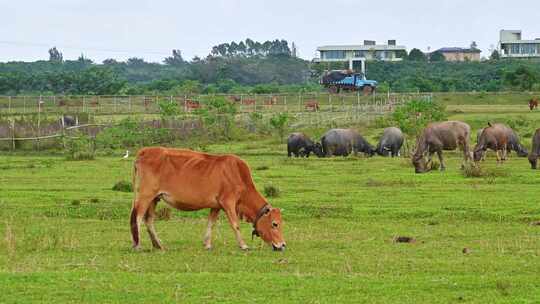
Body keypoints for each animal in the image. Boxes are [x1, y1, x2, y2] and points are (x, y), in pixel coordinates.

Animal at [131, 148, 286, 252]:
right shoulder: (228, 203)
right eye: (275, 224)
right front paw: (243, 245)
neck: (238, 174)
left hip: (154, 199)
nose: (283, 245)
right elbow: (235, 224)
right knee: (137, 217)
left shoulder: (216, 205)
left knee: (149, 220)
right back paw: (137, 245)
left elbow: (211, 223)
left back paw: (158, 245)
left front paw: (207, 244)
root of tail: (144, 151)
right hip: (145, 195)